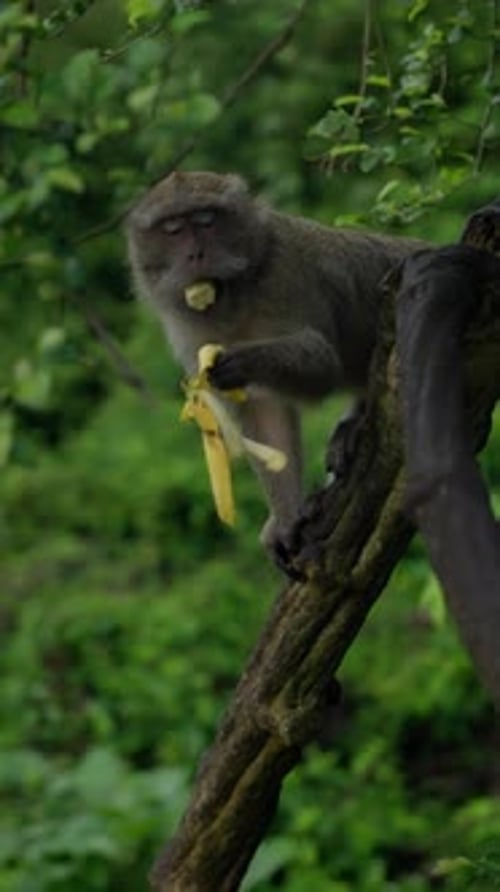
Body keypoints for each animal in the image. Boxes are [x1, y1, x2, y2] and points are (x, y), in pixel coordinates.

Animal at [126, 170, 426, 567]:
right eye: (173, 229)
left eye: (206, 220)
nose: (195, 254)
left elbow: (321, 363)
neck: (238, 293)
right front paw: (285, 520)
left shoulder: (286, 273)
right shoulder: (188, 328)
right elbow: (265, 414)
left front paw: (243, 361)